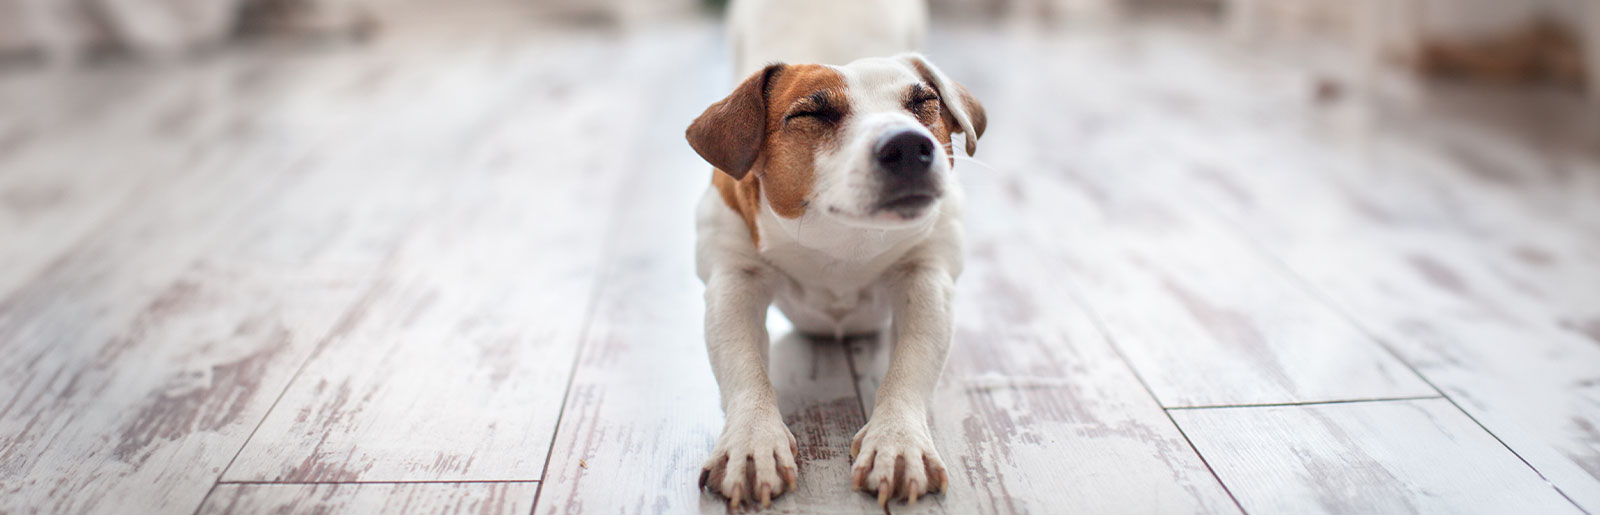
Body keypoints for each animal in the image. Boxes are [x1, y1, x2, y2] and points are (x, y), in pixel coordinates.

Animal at [681, 0, 979, 505]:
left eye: (923, 103)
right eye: (812, 115)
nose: (908, 144)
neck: (841, 242)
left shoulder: (926, 275)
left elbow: (911, 364)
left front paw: (896, 441)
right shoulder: (733, 279)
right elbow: (744, 367)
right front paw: (752, 440)